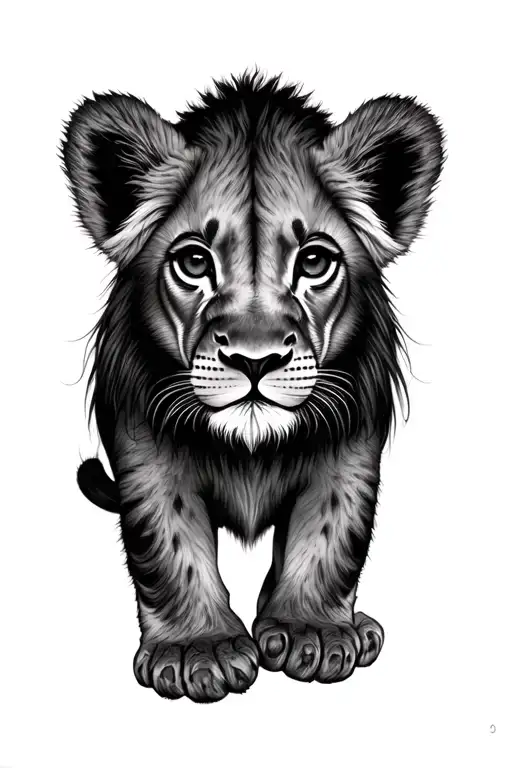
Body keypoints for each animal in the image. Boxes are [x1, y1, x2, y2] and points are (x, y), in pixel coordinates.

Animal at [62, 72, 443, 703]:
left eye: (314, 262)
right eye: (194, 262)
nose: (255, 360)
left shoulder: (348, 448)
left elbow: (330, 538)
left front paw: (312, 633)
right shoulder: (147, 450)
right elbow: (168, 545)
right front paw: (198, 649)